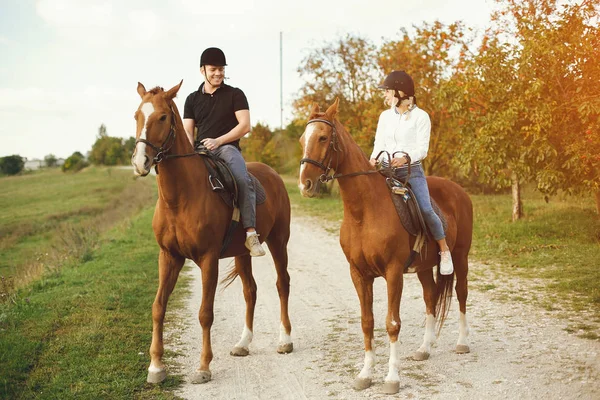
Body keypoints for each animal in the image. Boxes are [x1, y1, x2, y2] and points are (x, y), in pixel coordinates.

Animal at [131, 80, 292, 384]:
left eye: (163, 117)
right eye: (137, 116)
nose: (139, 162)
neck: (181, 197)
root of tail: (273, 174)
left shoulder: (208, 259)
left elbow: (205, 313)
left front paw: (203, 367)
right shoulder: (168, 257)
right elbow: (158, 307)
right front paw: (156, 367)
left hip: (279, 242)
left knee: (282, 284)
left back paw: (285, 340)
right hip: (242, 253)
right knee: (250, 290)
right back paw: (243, 343)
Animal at [298, 99, 472, 394]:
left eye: (322, 137)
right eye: (302, 139)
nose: (305, 184)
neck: (364, 212)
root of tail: (460, 191)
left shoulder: (393, 274)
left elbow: (392, 324)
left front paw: (392, 379)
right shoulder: (359, 274)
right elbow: (367, 322)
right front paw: (365, 375)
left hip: (461, 257)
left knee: (461, 294)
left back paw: (461, 343)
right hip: (424, 268)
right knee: (430, 298)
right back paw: (424, 349)